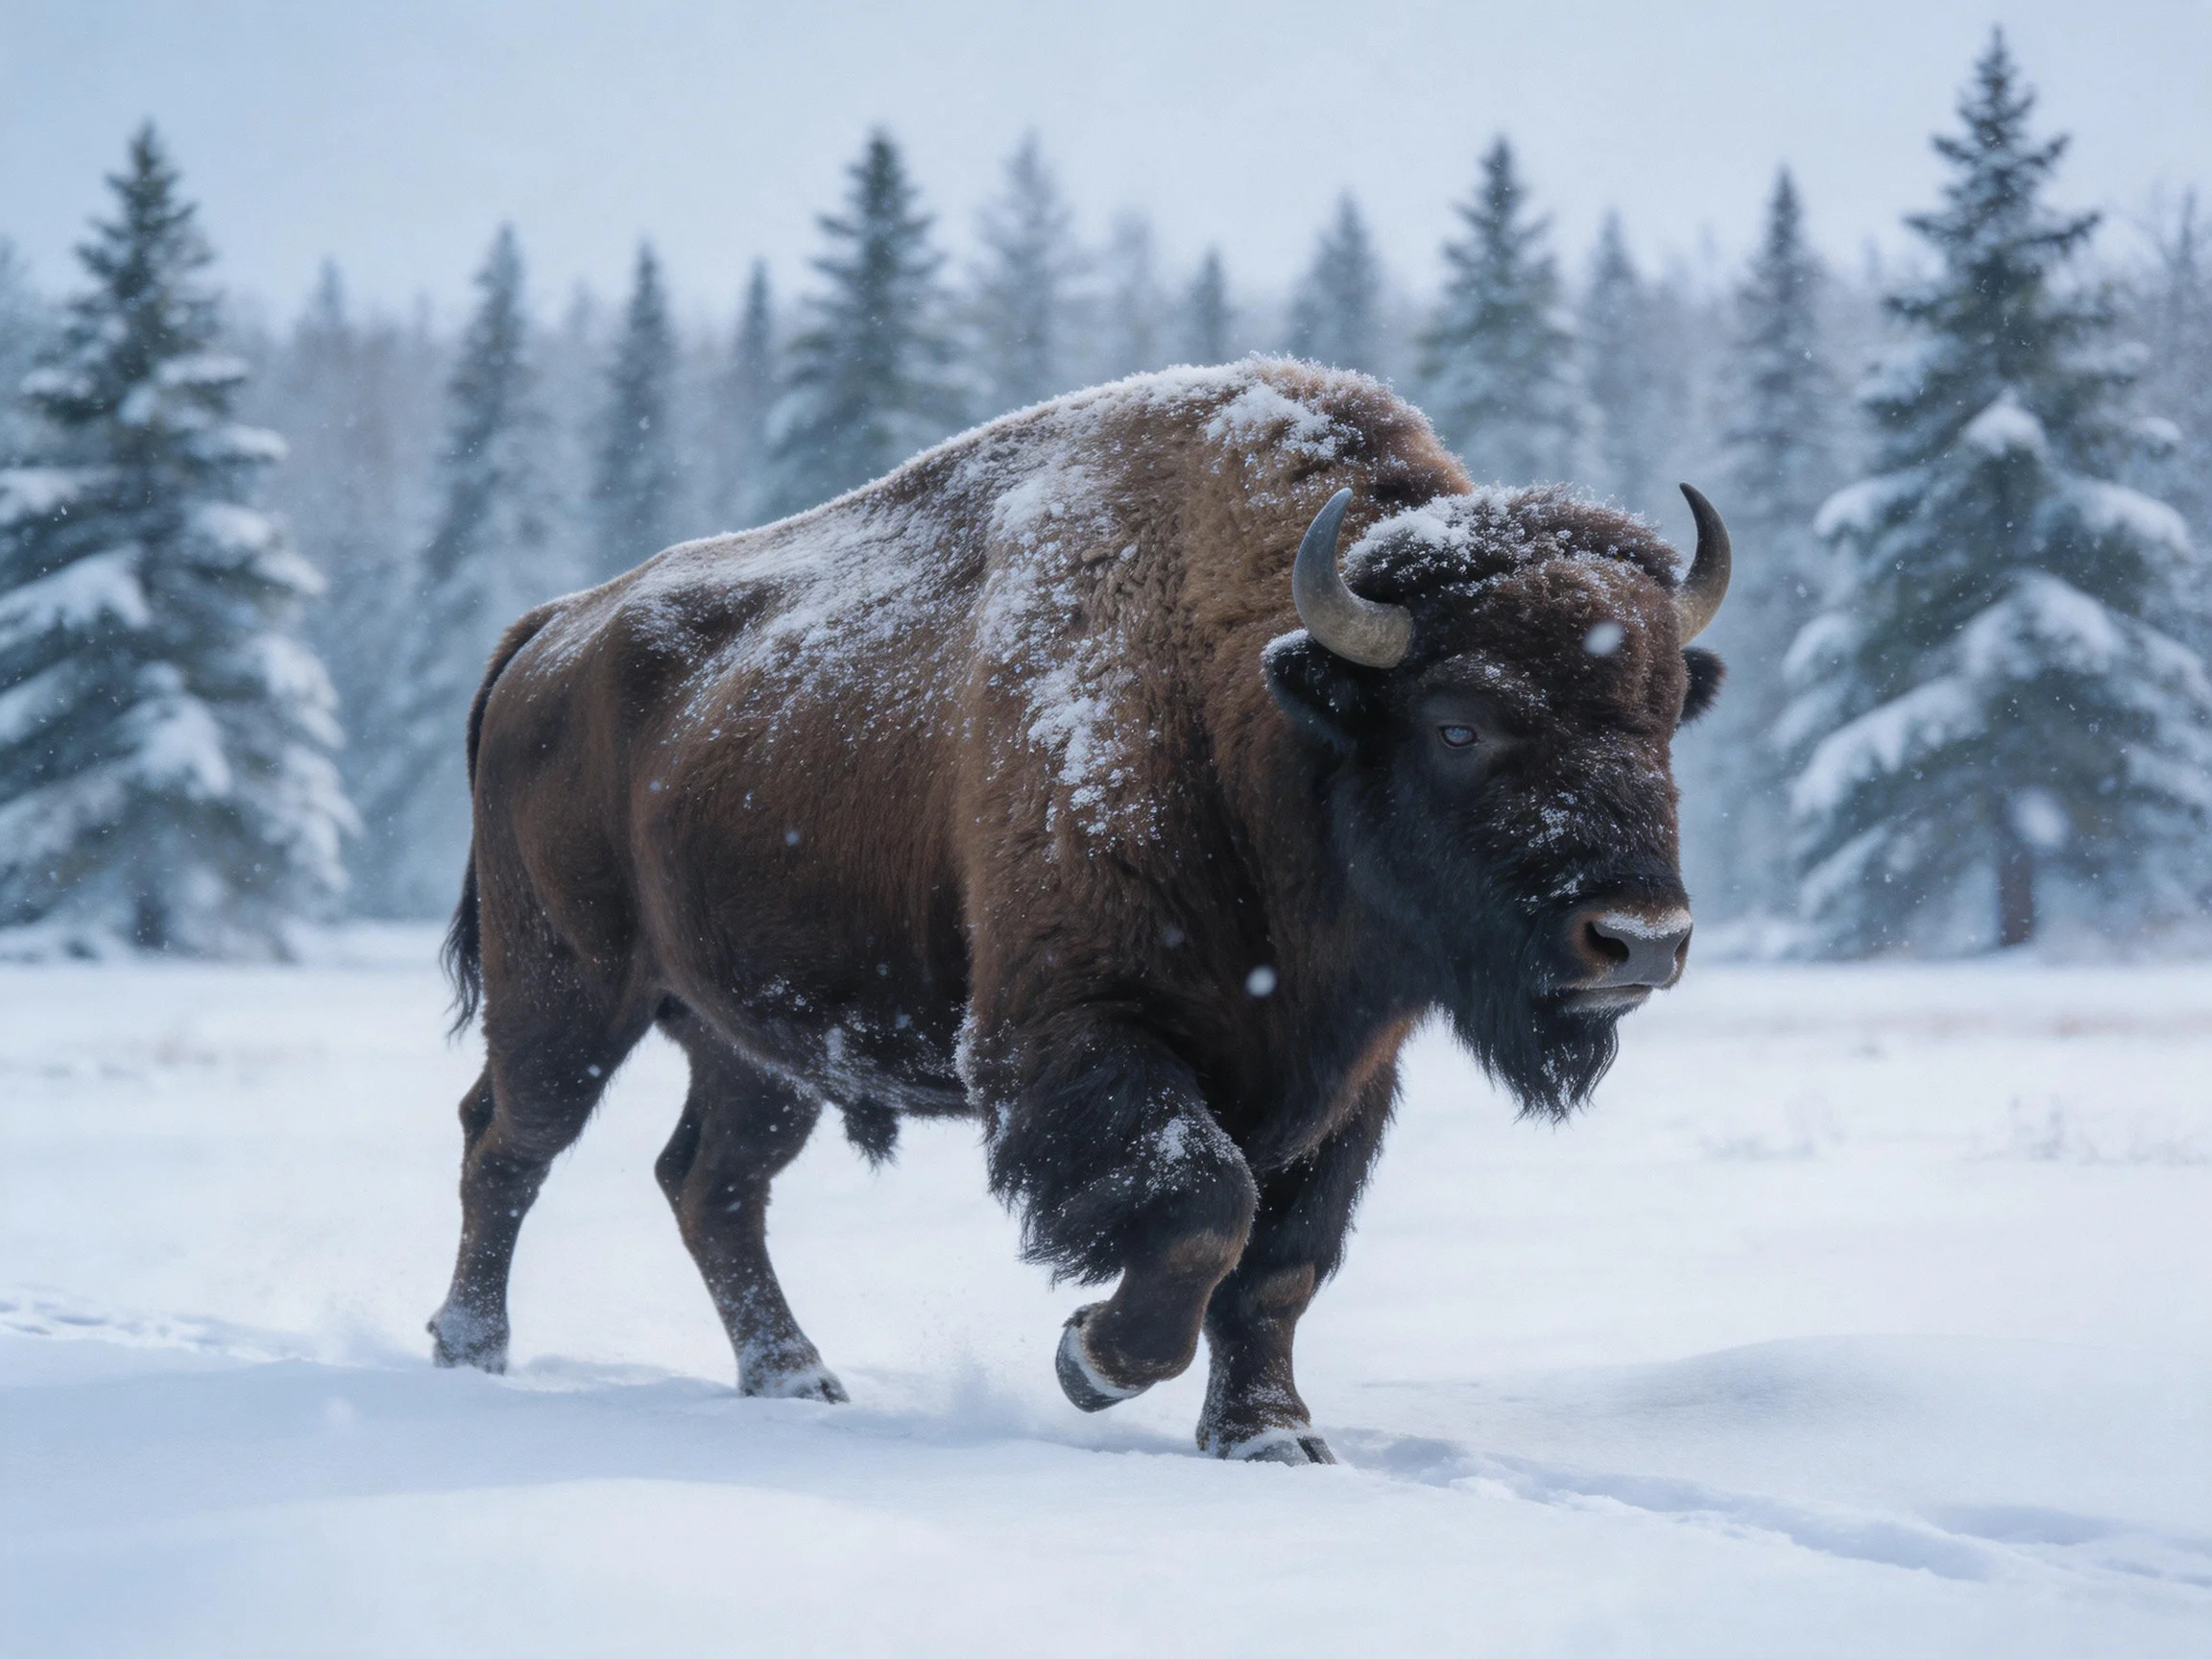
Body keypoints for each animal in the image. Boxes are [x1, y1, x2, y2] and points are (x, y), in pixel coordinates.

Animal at [427, 359, 1727, 1464]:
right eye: (1459, 723)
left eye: (1665, 713)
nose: (1640, 940)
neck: (1257, 709)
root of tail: (550, 635)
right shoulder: (1077, 1032)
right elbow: (1206, 1210)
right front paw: (1091, 1362)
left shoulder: (1348, 1079)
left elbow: (1281, 1267)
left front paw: (1272, 1440)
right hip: (567, 988)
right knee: (510, 1142)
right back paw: (472, 1349)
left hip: (751, 1043)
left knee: (714, 1183)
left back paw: (795, 1376)